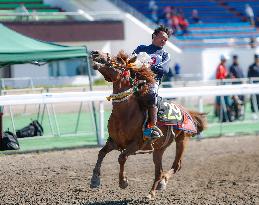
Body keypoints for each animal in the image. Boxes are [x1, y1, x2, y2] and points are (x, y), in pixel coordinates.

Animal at [89, 50, 207, 199]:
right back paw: (152, 191)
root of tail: (186, 111)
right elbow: (101, 153)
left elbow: (121, 157)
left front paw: (123, 181)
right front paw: (94, 180)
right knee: (159, 170)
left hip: (182, 140)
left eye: (118, 59)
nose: (95, 53)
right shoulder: (114, 141)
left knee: (176, 165)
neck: (125, 113)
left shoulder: (136, 143)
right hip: (159, 149)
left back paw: (162, 183)